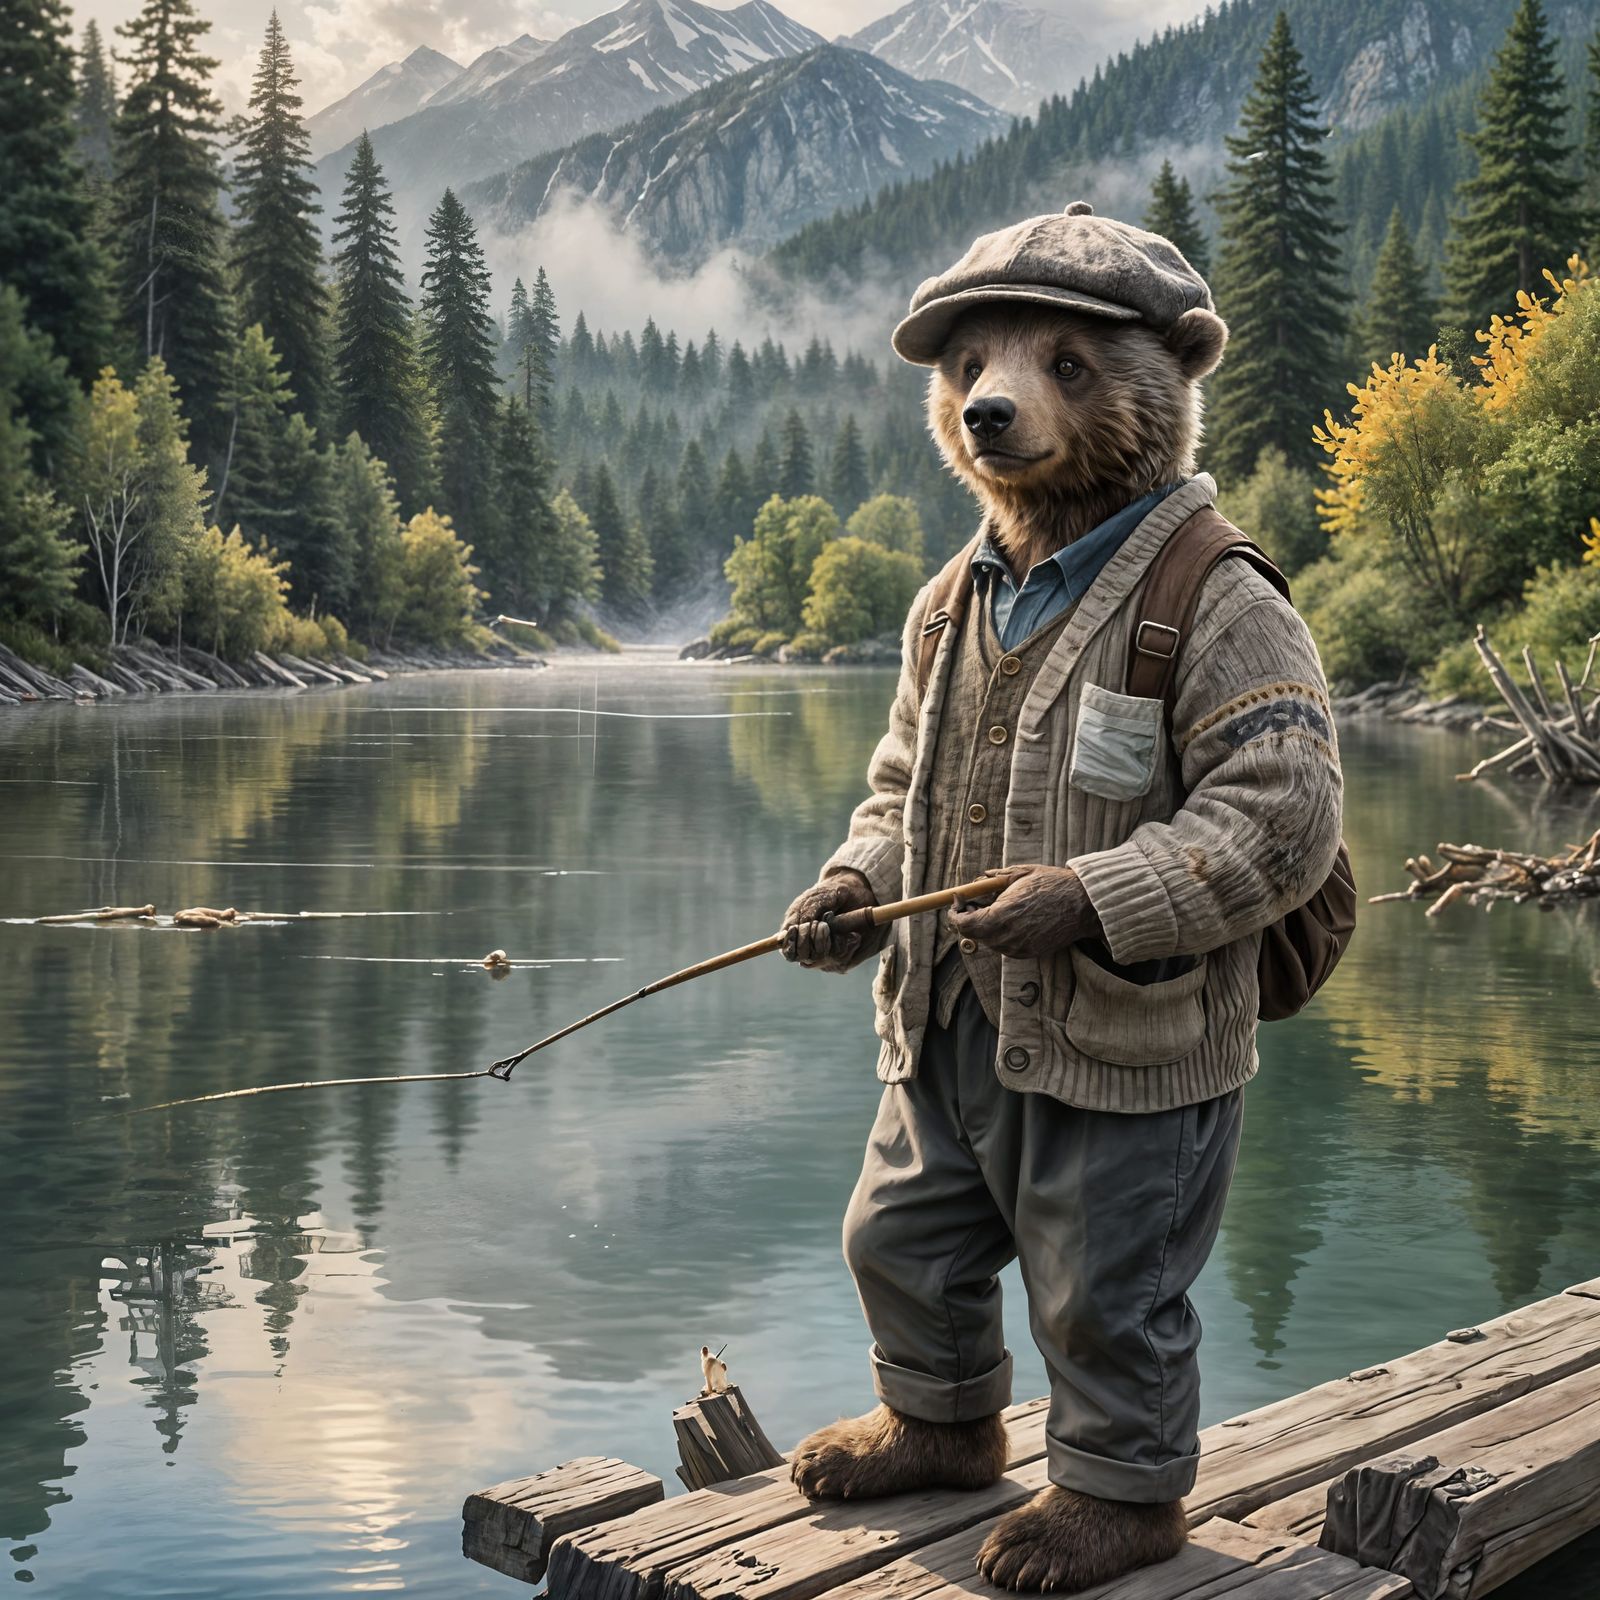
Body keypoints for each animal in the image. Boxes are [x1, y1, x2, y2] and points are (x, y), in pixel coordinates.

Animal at [780, 203, 1343, 1594]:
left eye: (1069, 358)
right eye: (970, 354)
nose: (988, 413)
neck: (1040, 551)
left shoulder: (1238, 614)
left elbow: (1264, 794)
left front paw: (1029, 902)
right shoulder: (934, 619)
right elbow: (895, 776)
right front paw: (831, 909)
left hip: (1119, 1114)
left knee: (1105, 1299)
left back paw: (1081, 1524)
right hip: (943, 1075)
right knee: (907, 1242)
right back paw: (894, 1442)